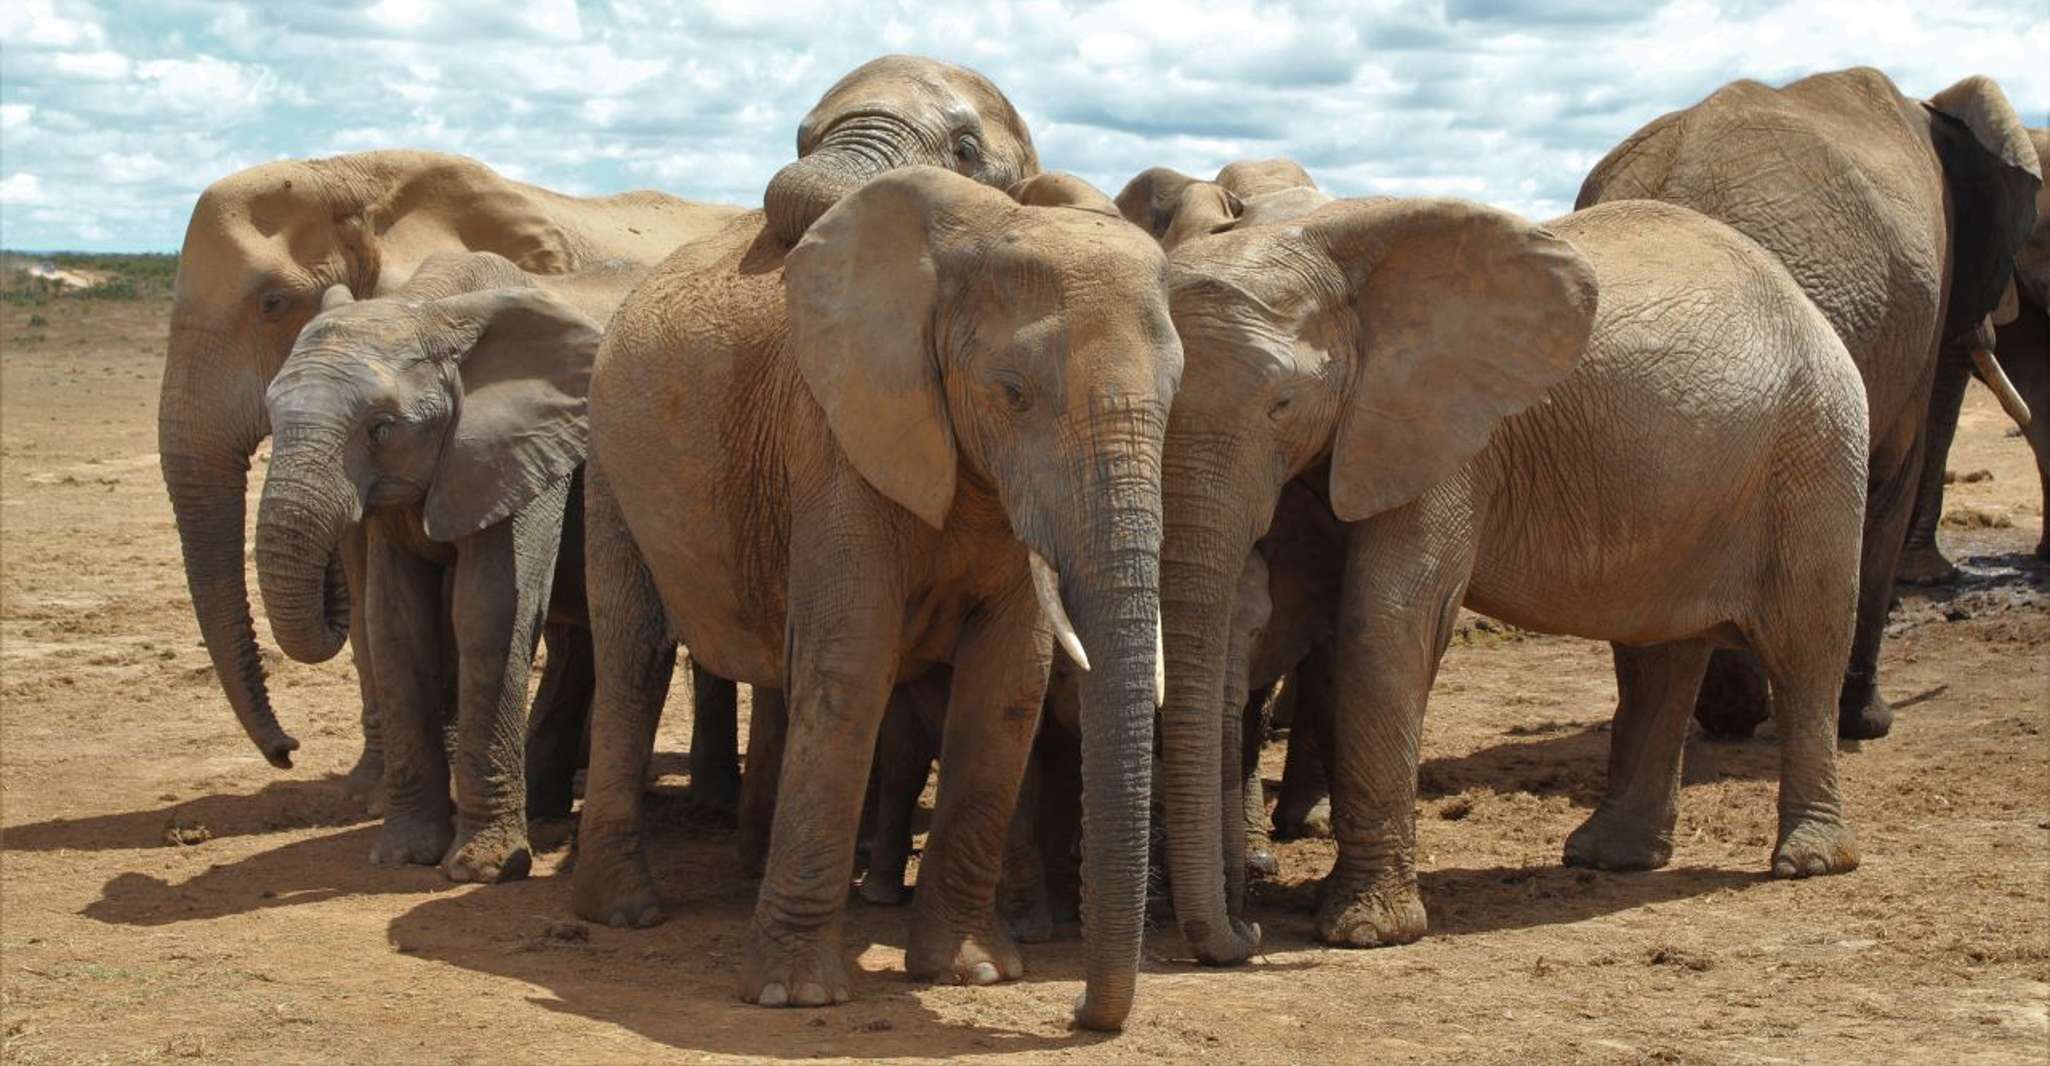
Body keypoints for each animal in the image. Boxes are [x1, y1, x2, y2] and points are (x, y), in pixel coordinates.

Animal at [255, 251, 614, 881]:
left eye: (381, 429)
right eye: (270, 417)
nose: (288, 752)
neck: (431, 308)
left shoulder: (523, 449)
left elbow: (489, 613)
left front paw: (482, 870)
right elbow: (396, 622)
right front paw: (404, 856)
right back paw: (547, 810)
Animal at [571, 159, 1178, 1031]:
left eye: (1176, 396)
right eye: (1012, 392)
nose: (1080, 1015)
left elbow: (1008, 684)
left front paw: (973, 973)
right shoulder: (834, 438)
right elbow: (850, 666)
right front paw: (793, 995)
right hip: (611, 464)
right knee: (632, 655)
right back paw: (623, 912)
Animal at [1151, 194, 1870, 961]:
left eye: (1282, 402)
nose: (1248, 929)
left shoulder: (1447, 433)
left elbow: (1389, 617)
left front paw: (1365, 932)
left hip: (1816, 448)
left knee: (1804, 644)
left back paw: (1809, 861)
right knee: (1656, 656)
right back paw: (1607, 858)